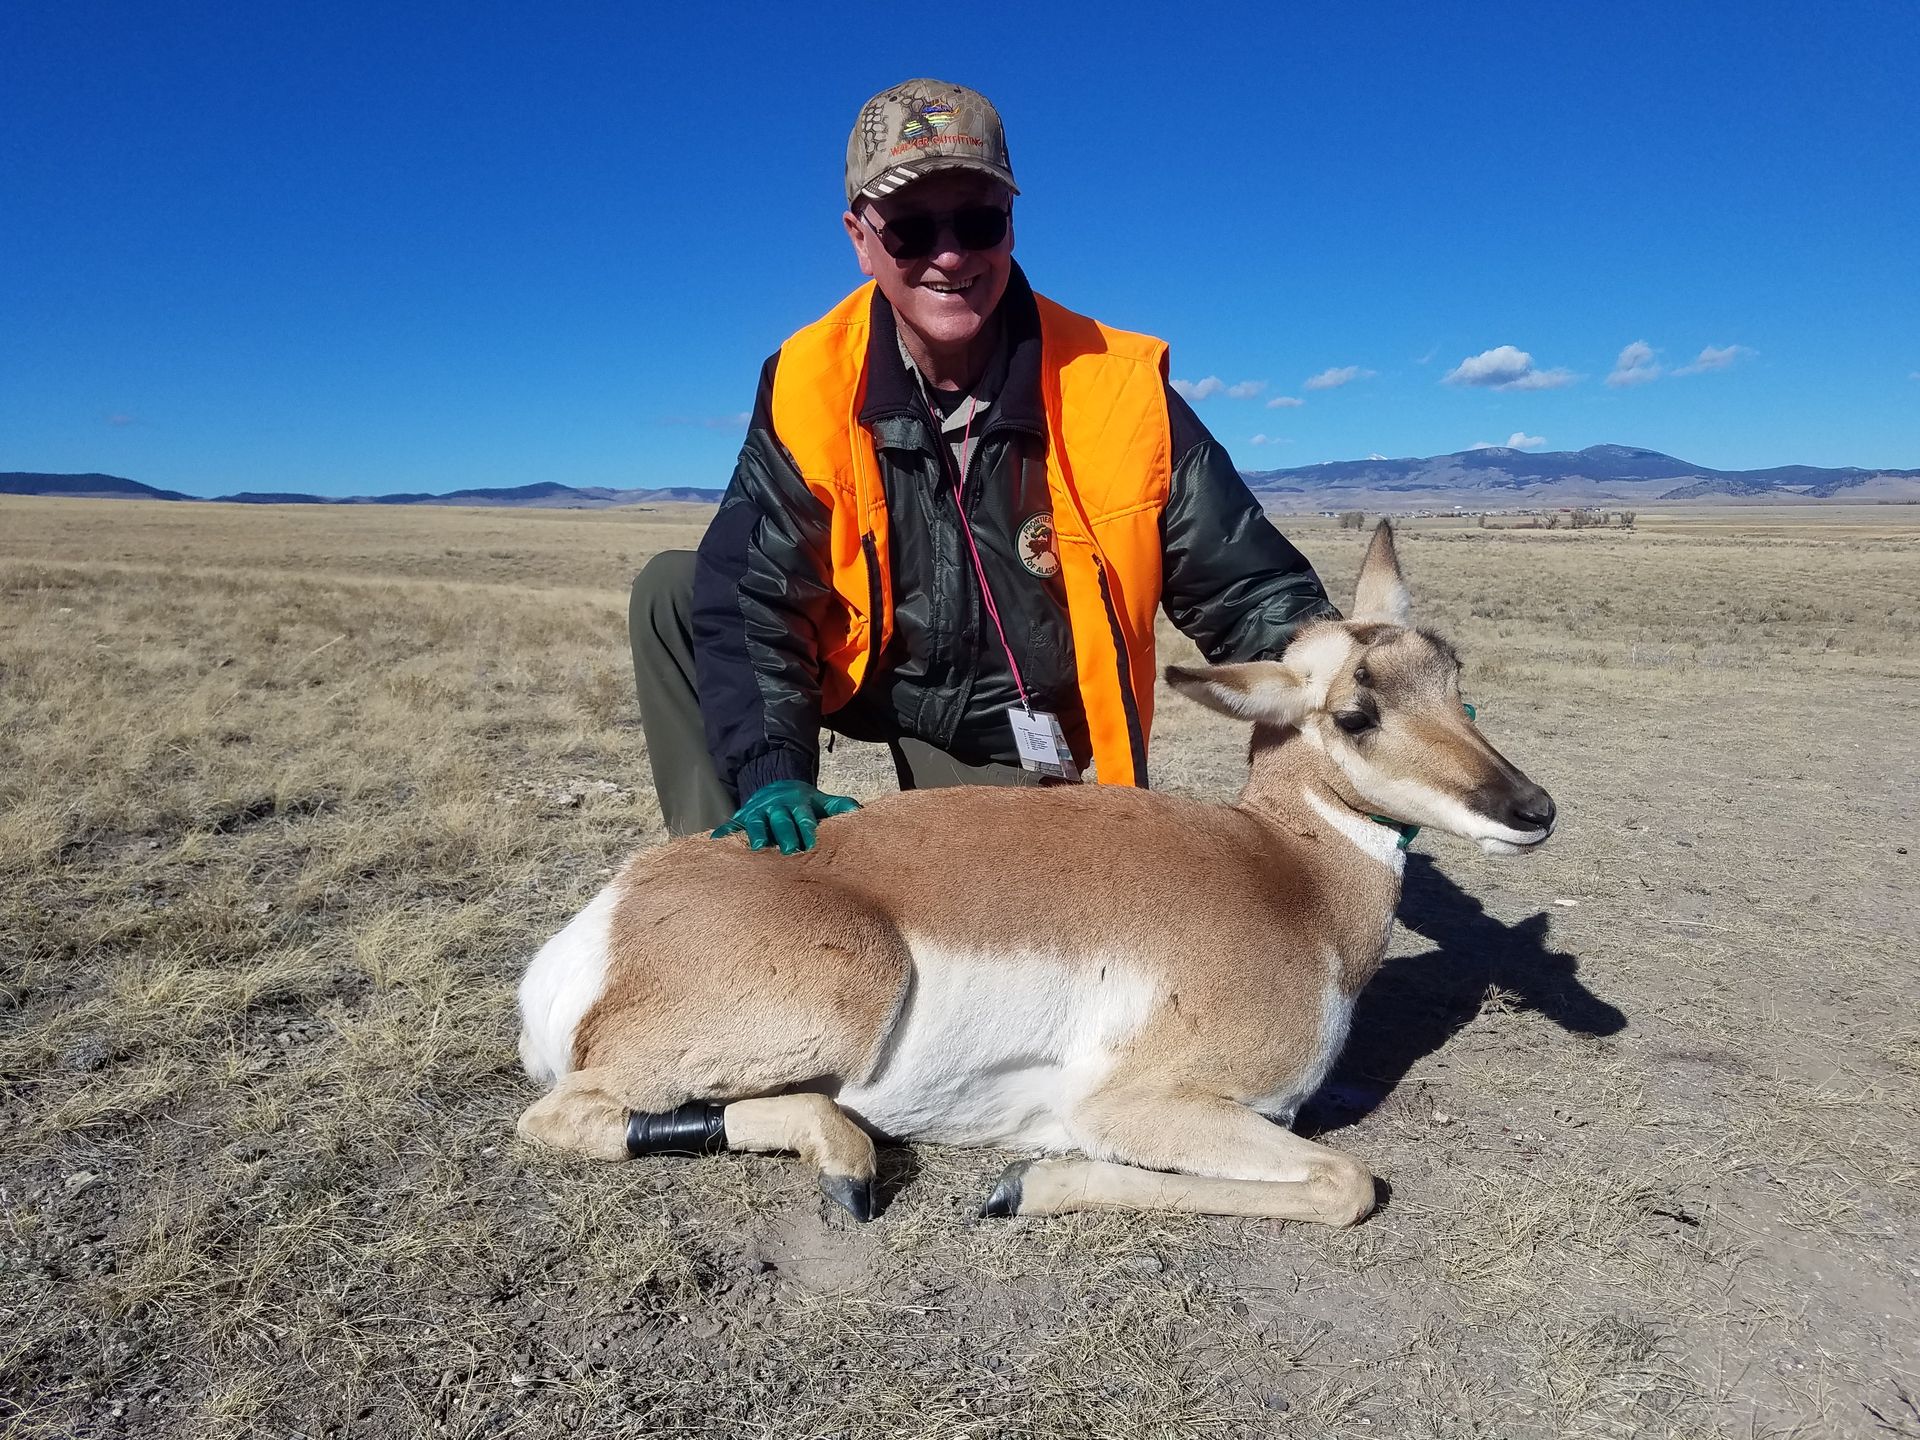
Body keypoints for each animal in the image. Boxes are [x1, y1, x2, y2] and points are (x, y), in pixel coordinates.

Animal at [515, 522, 1555, 1226]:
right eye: (1354, 714)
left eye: (1456, 684)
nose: (1534, 811)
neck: (1284, 872)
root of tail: (612, 913)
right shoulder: (1138, 1104)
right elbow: (1346, 1182)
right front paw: (1029, 1182)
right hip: (844, 991)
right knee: (562, 1116)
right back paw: (848, 1159)